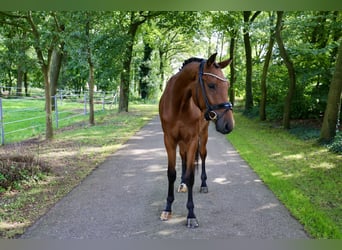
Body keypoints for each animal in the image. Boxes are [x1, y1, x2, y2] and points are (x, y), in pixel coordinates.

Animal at [158, 53, 234, 229]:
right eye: (212, 85)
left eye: (227, 86)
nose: (229, 125)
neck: (179, 104)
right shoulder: (169, 140)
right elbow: (171, 173)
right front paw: (167, 208)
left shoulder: (192, 139)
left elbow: (192, 175)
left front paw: (191, 214)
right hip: (181, 142)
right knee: (184, 157)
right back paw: (182, 183)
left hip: (203, 135)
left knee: (203, 156)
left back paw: (203, 184)